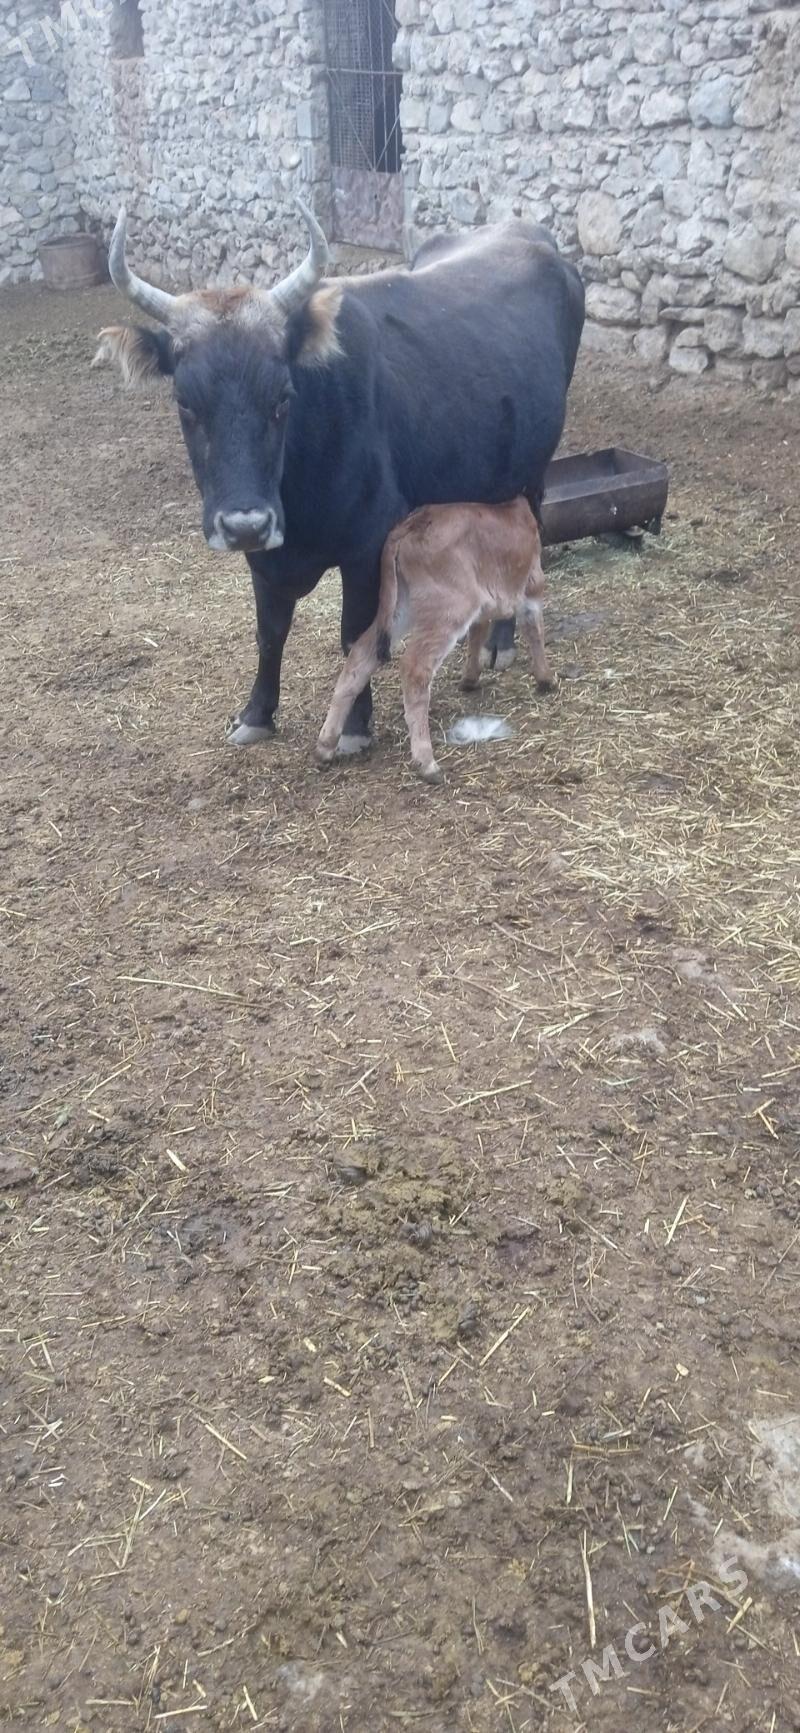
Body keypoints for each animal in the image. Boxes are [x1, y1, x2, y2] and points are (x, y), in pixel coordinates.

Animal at [93, 201, 584, 752]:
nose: (244, 524)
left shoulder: (367, 544)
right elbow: (270, 633)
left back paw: (501, 643)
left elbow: (354, 633)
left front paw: (353, 725)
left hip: (533, 475)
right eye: (185, 402)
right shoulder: (267, 553)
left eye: (282, 396)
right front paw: (256, 713)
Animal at [316, 496, 554, 783]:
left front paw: (470, 679)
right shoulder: (533, 584)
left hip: (401, 606)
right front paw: (546, 679)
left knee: (361, 654)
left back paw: (325, 746)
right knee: (415, 668)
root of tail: (408, 526)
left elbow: (478, 633)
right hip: (449, 607)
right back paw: (426, 763)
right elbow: (534, 629)